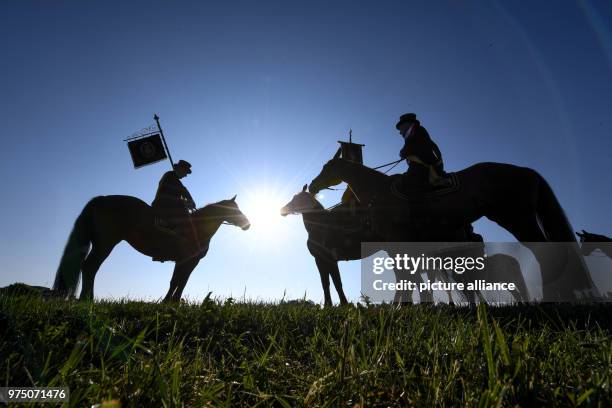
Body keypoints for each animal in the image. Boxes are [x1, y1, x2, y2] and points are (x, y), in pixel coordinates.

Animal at [52, 194, 249, 300]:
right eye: (234, 210)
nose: (248, 224)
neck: (198, 227)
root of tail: (100, 200)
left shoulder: (183, 261)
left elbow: (176, 281)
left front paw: (168, 302)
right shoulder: (189, 261)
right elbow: (180, 281)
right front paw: (172, 302)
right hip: (105, 244)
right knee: (90, 267)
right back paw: (87, 299)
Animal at [282, 185, 532, 306]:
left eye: (297, 199)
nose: (283, 210)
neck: (319, 225)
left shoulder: (325, 259)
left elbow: (332, 283)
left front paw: (337, 305)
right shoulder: (325, 261)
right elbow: (330, 283)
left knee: (412, 280)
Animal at [310, 151, 596, 302]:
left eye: (326, 167)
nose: (312, 185)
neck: (378, 192)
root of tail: (526, 171)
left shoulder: (397, 243)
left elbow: (407, 278)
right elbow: (409, 277)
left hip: (517, 219)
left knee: (546, 252)